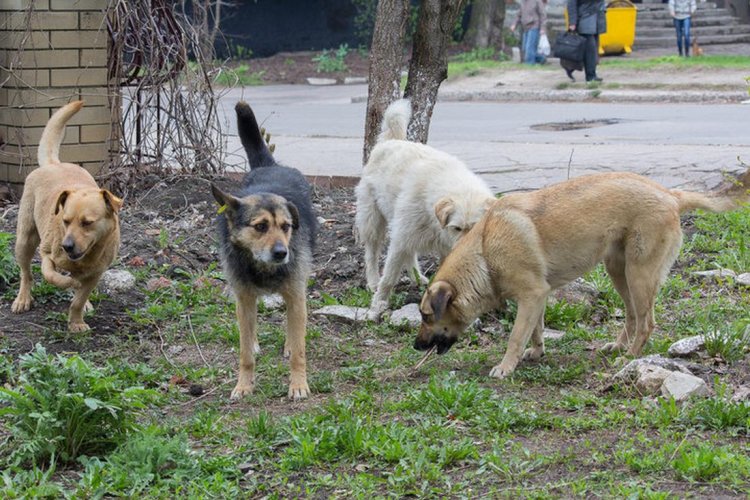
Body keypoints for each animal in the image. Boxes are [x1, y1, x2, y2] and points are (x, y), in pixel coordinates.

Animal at [212, 100, 318, 398]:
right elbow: (245, 352)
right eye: (260, 226)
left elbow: (300, 350)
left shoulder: (296, 295)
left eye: (286, 226)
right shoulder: (244, 297)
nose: (282, 253)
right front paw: (244, 384)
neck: (263, 267)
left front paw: (298, 384)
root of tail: (270, 165)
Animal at [356, 99, 496, 314]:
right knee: (372, 253)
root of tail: (391, 141)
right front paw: (379, 302)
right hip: (373, 220)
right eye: (457, 228)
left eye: (475, 228)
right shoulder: (400, 239)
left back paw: (417, 277)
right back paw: (372, 282)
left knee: (410, 253)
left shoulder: (444, 248)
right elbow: (389, 276)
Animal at [418, 170, 750, 376]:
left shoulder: (531, 296)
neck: (485, 251)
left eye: (426, 316)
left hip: (639, 275)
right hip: (619, 272)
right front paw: (536, 352)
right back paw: (619, 346)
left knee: (647, 323)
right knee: (632, 315)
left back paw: (631, 356)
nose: (415, 345)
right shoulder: (538, 298)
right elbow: (535, 330)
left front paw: (506, 366)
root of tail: (670, 194)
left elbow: (515, 337)